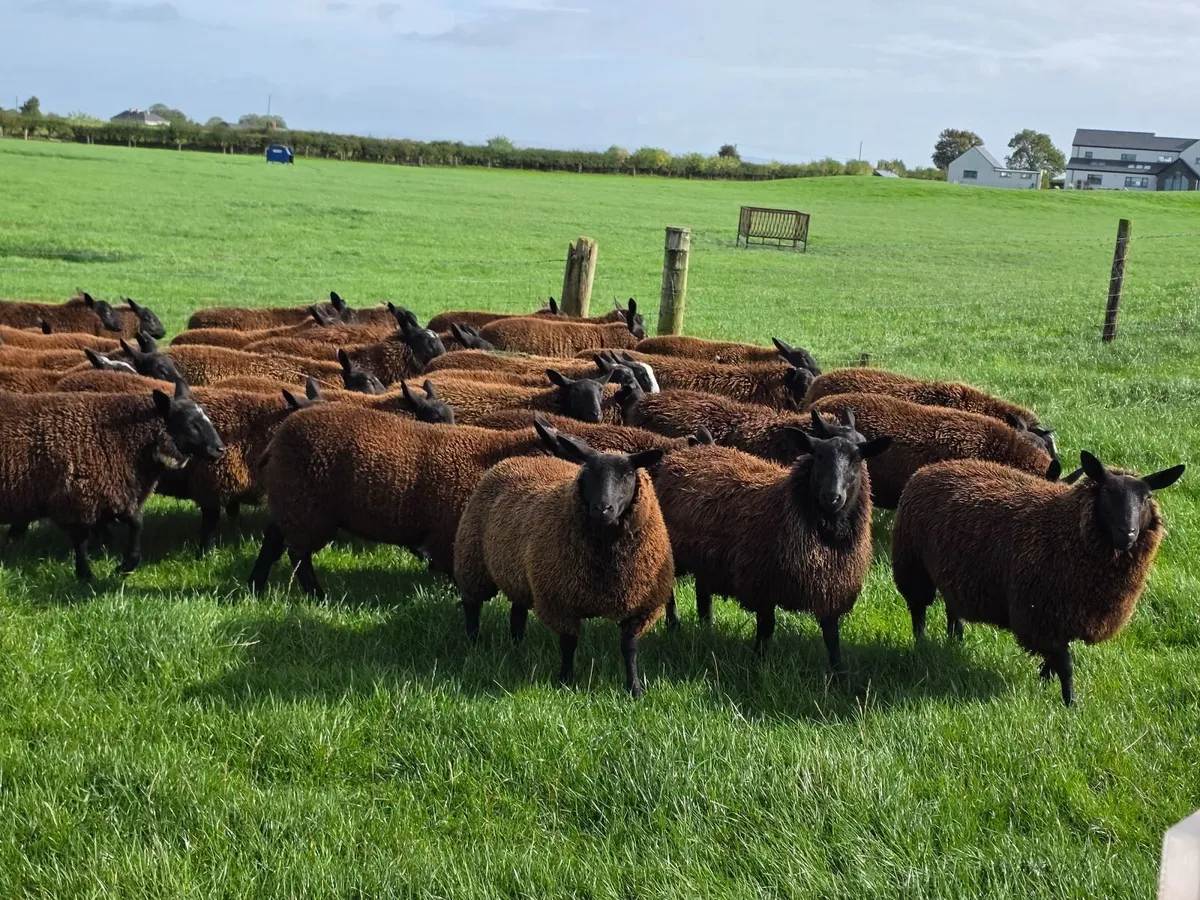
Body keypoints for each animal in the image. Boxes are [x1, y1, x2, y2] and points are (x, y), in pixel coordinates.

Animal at [0, 382, 225, 579]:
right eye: (191, 424)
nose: (220, 449)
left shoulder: (114, 490)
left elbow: (137, 523)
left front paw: (126, 565)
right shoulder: (78, 497)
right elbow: (80, 540)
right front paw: (85, 575)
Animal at [248, 409, 556, 596]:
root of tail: (275, 443)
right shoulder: (448, 533)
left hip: (290, 503)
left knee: (273, 539)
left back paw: (256, 586)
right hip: (305, 507)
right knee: (298, 554)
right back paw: (317, 595)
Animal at [453, 423, 674, 696]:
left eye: (628, 474)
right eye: (588, 470)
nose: (602, 509)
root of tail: (517, 460)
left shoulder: (641, 606)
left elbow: (629, 648)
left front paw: (634, 689)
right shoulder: (560, 600)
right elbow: (568, 645)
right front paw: (566, 681)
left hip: (517, 574)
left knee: (517, 612)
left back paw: (517, 645)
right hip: (472, 561)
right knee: (472, 606)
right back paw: (474, 643)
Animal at [650, 427, 890, 667]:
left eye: (857, 459)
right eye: (818, 456)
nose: (832, 497)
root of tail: (690, 451)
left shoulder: (831, 590)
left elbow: (832, 639)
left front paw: (839, 672)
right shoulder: (762, 585)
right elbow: (766, 629)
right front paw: (759, 663)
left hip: (706, 557)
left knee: (702, 591)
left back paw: (707, 627)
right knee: (669, 589)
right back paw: (674, 625)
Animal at [892, 453, 1185, 706]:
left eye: (1147, 497)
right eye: (1106, 492)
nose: (1128, 533)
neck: (1065, 528)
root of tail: (932, 467)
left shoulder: (1066, 616)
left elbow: (1055, 662)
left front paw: (1043, 684)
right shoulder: (1043, 614)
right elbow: (1065, 665)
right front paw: (1070, 704)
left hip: (952, 571)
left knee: (953, 609)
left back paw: (955, 641)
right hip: (912, 564)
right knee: (918, 610)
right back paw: (922, 645)